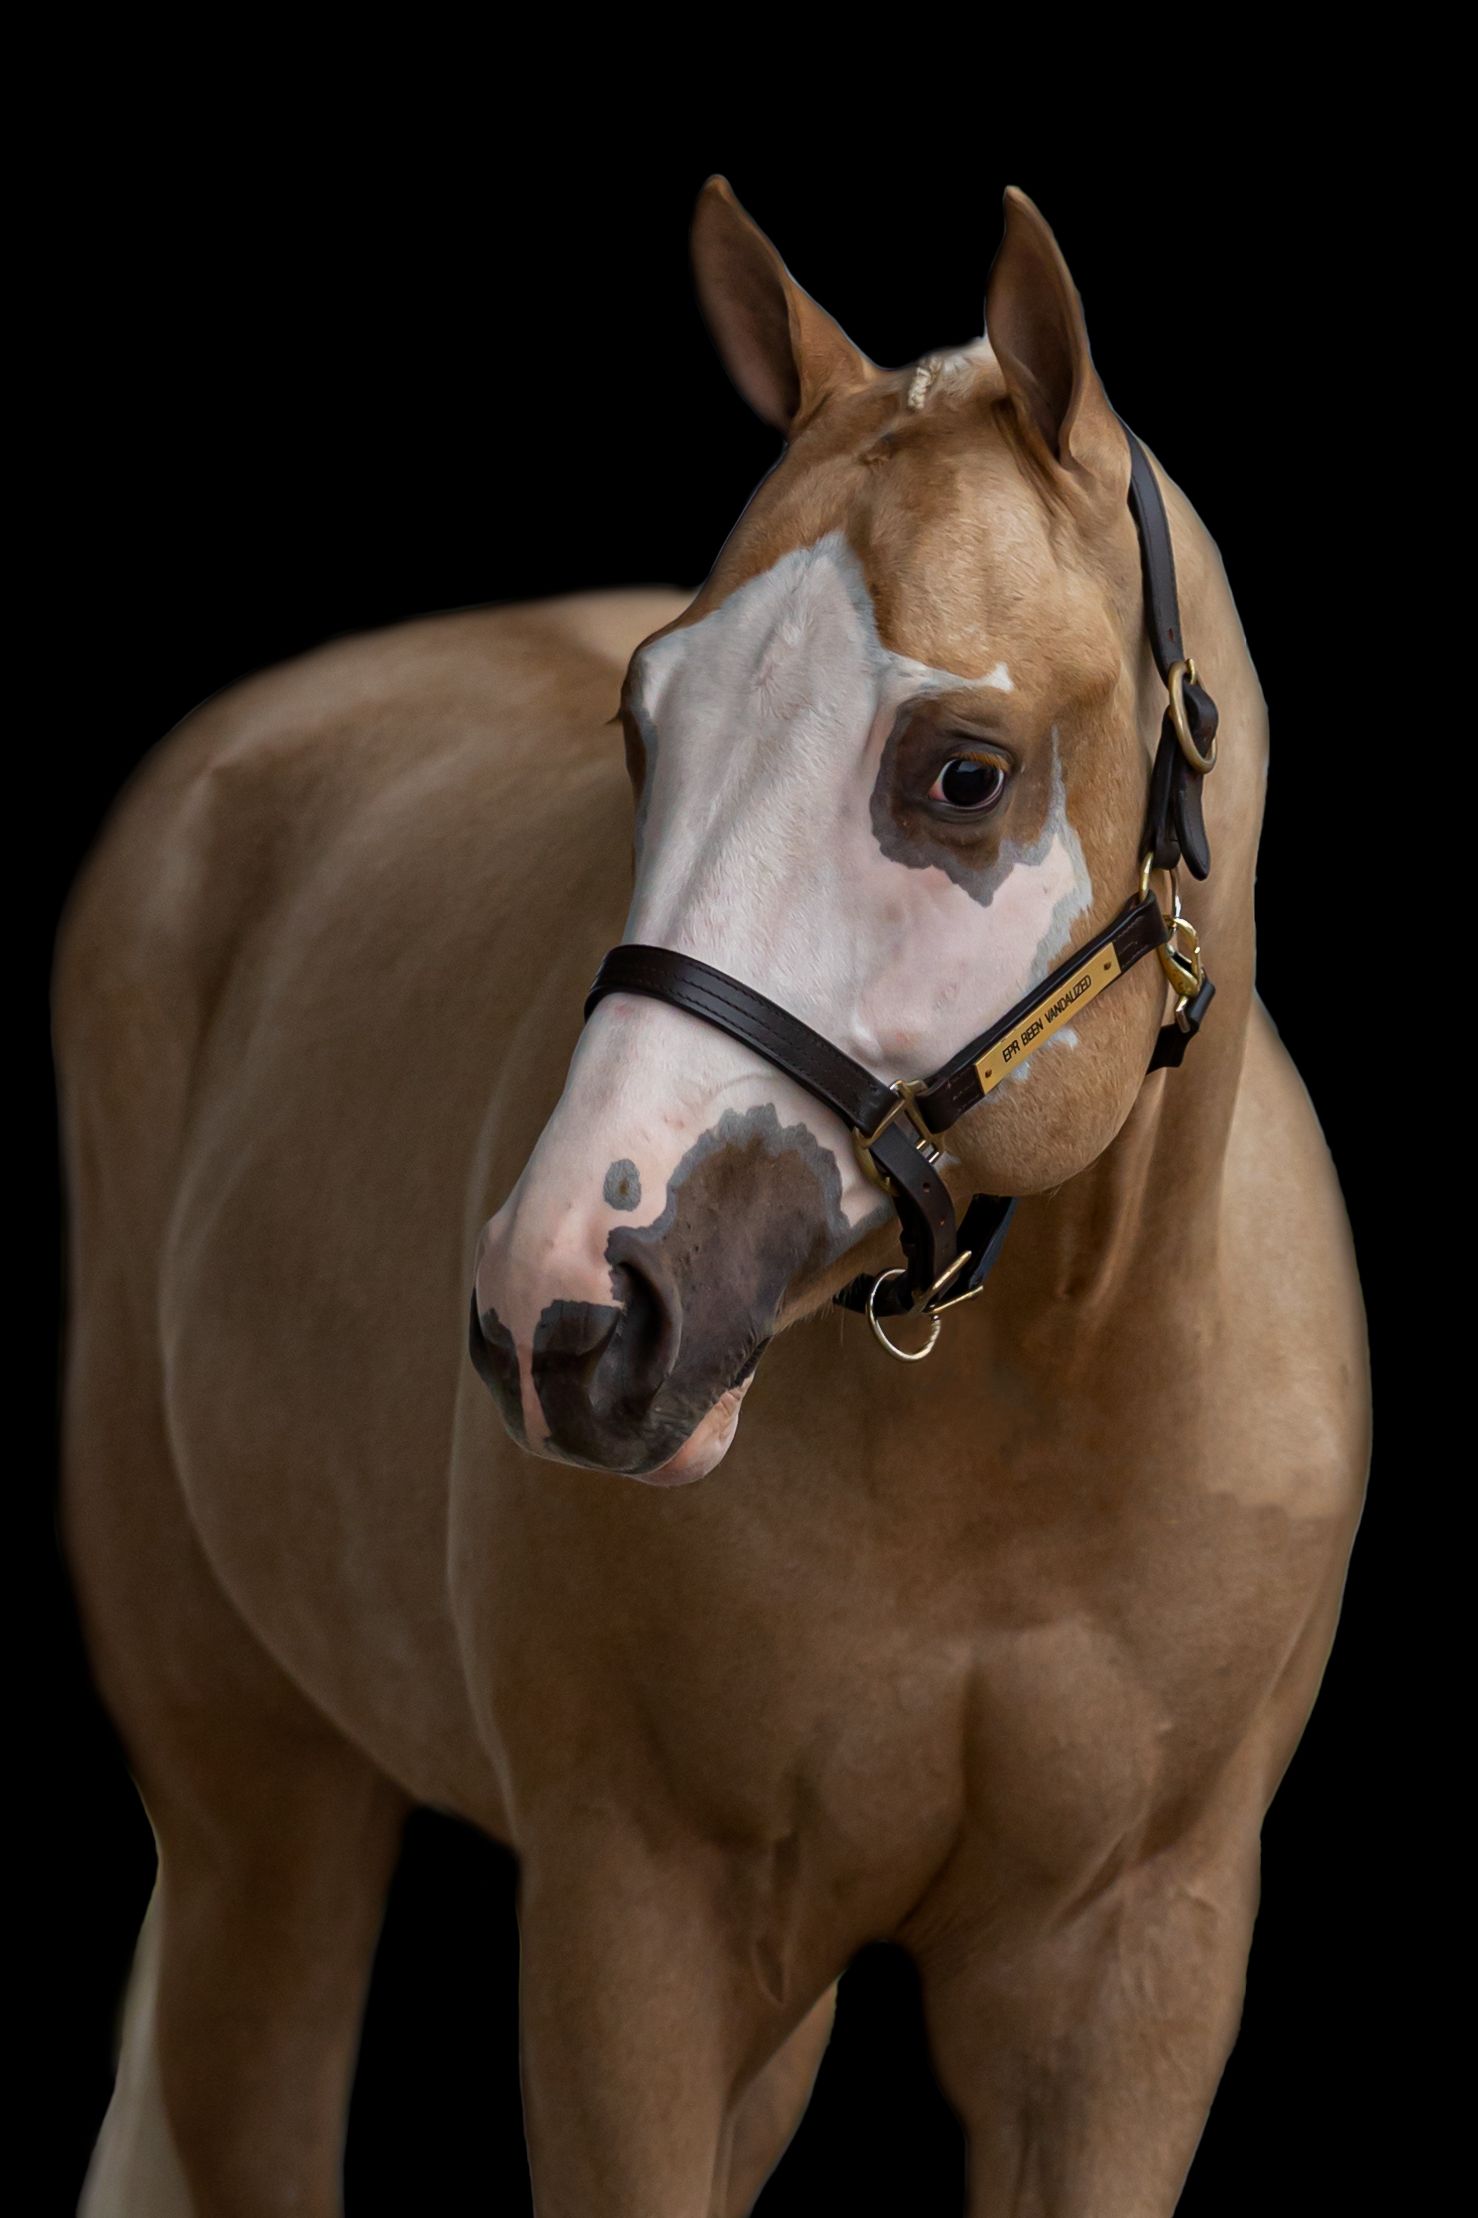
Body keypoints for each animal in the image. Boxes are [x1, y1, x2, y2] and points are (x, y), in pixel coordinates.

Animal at [57, 177, 1369, 2216]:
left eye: (962, 772)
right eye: (641, 727)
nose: (562, 1312)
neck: (1039, 1434)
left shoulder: (1131, 1977)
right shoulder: (632, 1936)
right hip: (254, 1814)